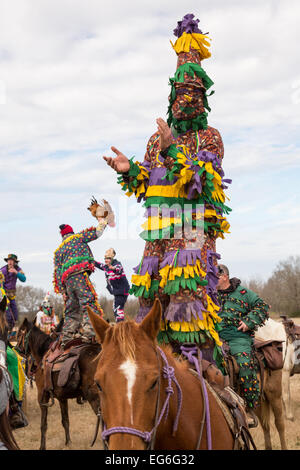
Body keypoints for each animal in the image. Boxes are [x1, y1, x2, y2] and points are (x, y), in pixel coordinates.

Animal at [16, 318, 101, 450]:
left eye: (20, 332)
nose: (16, 348)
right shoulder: (62, 398)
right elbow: (65, 420)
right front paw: (68, 442)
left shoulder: (42, 396)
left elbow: (43, 424)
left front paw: (42, 446)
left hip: (94, 396)